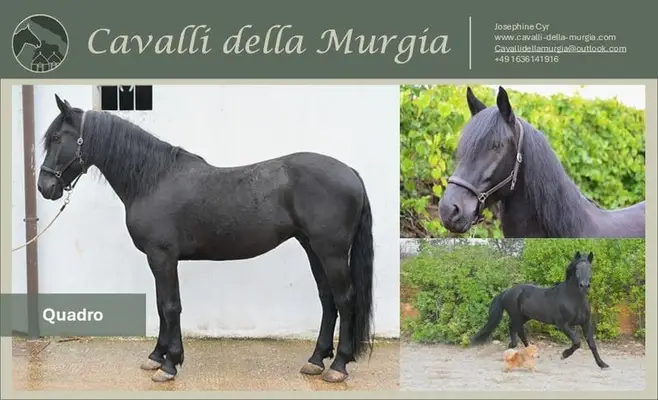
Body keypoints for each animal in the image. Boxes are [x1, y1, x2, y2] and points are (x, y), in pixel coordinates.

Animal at [36, 95, 375, 383]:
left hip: (331, 252)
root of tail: (351, 172)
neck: (152, 180)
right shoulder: (158, 259)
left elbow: (170, 306)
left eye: (56, 138)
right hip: (312, 248)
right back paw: (316, 360)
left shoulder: (162, 256)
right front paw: (156, 357)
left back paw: (339, 365)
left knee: (345, 299)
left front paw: (170, 365)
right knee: (328, 298)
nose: (44, 187)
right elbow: (160, 305)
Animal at [470, 251, 609, 370]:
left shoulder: (586, 323)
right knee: (519, 331)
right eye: (577, 268)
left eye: (590, 268)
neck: (573, 299)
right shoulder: (563, 325)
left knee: (515, 330)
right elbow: (577, 341)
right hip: (516, 316)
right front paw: (564, 355)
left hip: (525, 317)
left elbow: (592, 344)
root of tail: (506, 292)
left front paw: (602, 364)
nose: (584, 285)